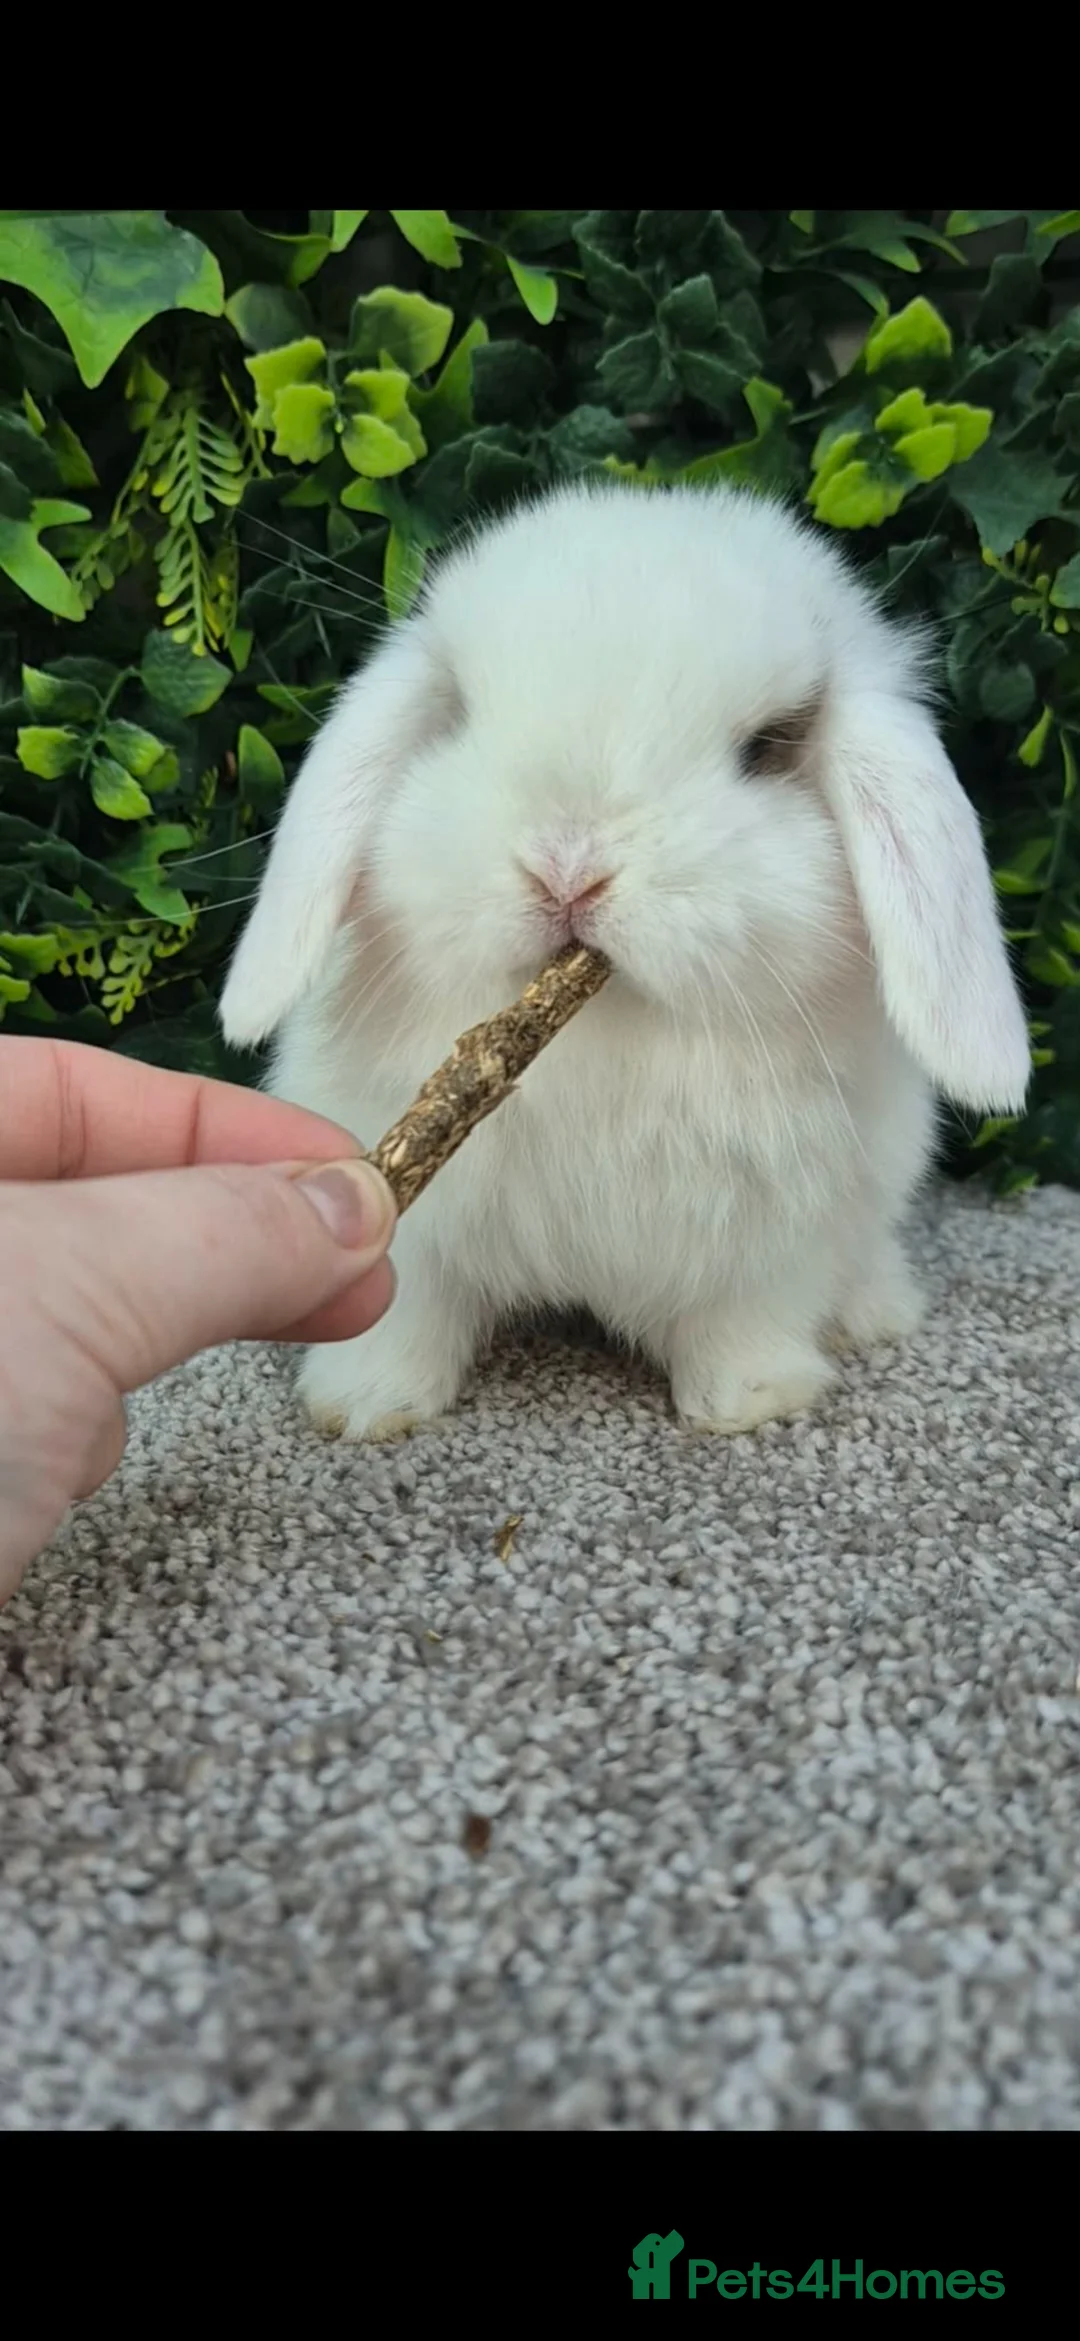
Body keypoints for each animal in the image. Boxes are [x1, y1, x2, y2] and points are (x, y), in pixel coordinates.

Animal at [219, 481, 1031, 1441]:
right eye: (457, 713)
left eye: (767, 746)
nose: (567, 867)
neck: (600, 1043)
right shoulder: (415, 1224)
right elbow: (403, 1312)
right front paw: (363, 1406)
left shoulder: (777, 1243)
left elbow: (744, 1320)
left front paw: (750, 1400)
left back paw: (878, 1311)